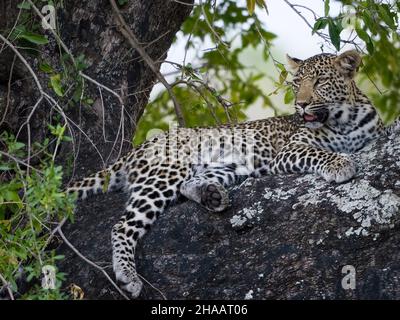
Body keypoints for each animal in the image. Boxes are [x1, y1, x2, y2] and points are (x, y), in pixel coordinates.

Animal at [67, 49, 398, 298]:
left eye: (319, 82)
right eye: (296, 83)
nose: (301, 104)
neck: (344, 120)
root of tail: (141, 145)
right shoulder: (289, 151)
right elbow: (317, 153)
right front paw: (340, 164)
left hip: (229, 165)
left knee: (189, 185)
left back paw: (211, 195)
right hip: (168, 171)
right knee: (122, 225)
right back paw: (127, 274)